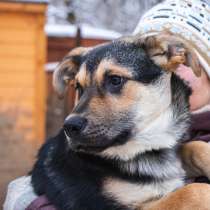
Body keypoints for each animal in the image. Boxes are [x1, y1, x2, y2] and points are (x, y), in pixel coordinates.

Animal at [30, 33, 210, 209]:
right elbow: (192, 191)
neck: (143, 149)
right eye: (78, 87)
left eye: (115, 79)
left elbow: (196, 146)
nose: (69, 127)